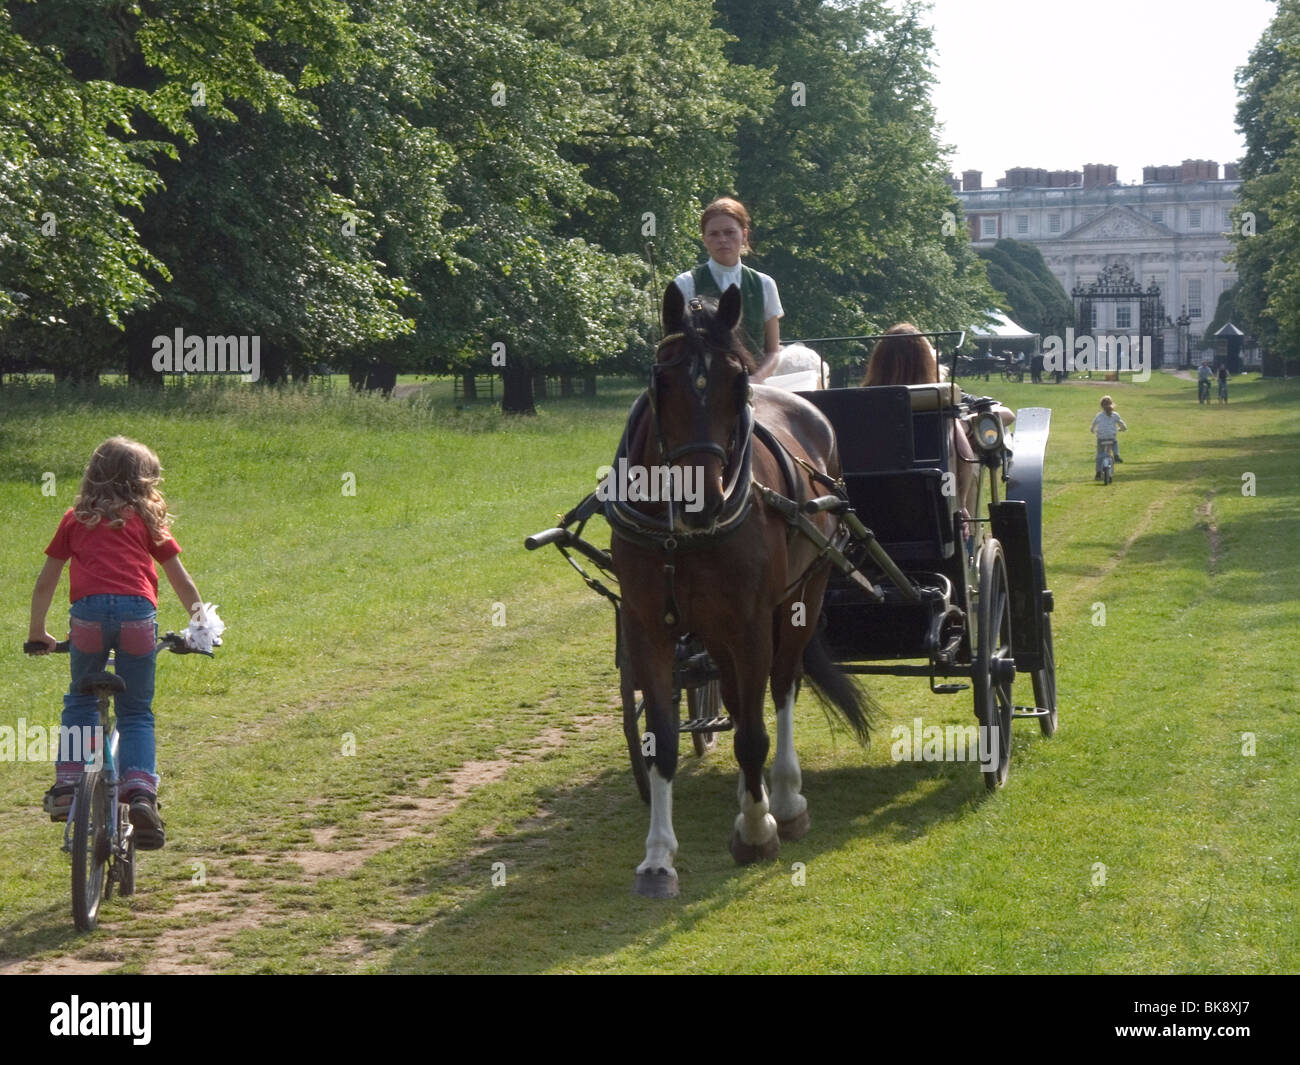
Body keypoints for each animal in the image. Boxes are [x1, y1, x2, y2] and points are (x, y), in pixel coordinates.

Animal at [608, 284, 873, 899]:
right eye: (662, 379)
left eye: (738, 384)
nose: (702, 497)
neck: (680, 537)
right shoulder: (647, 626)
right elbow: (662, 738)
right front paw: (658, 857)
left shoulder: (752, 622)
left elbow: (754, 733)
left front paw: (758, 831)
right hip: (716, 630)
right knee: (735, 696)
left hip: (802, 599)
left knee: (781, 687)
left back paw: (784, 798)